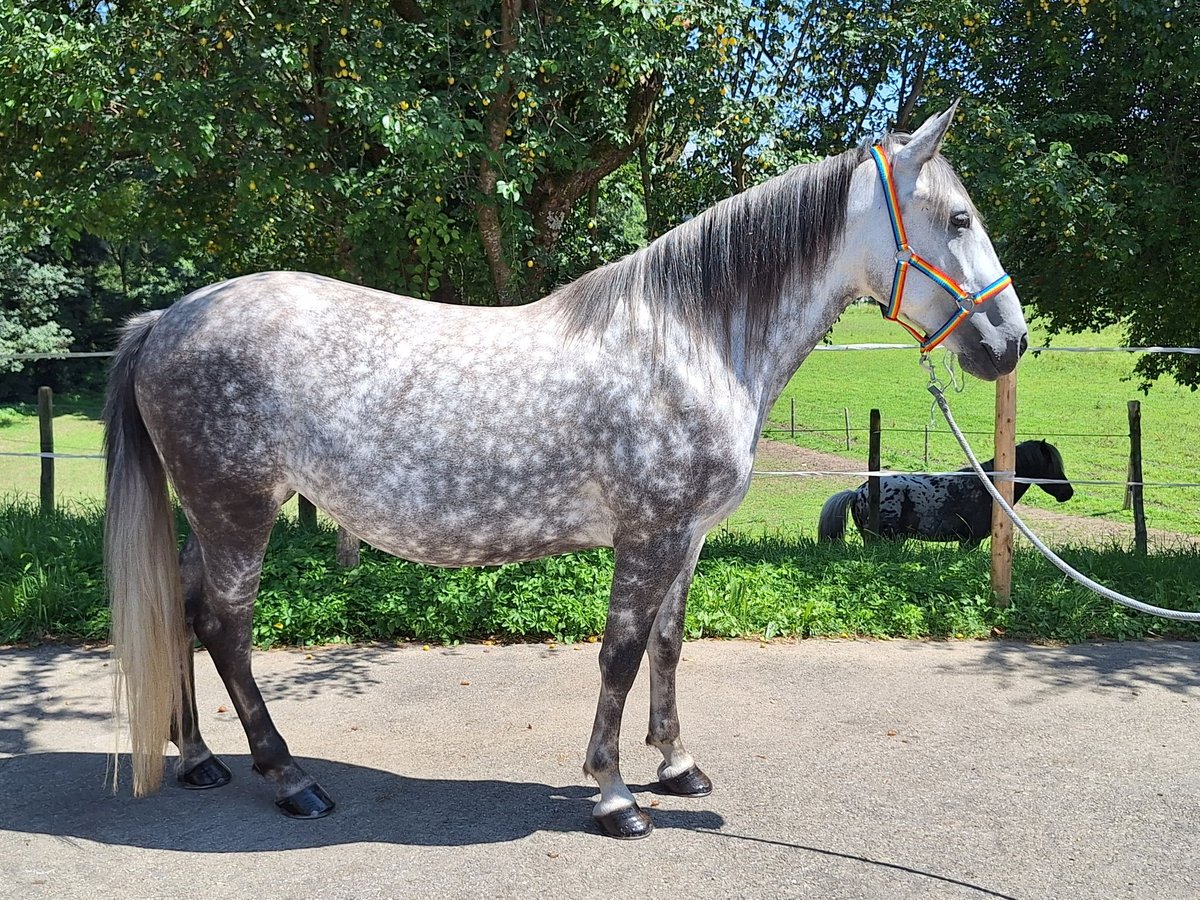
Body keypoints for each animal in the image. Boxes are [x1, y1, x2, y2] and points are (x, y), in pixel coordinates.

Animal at [103, 109, 1027, 844]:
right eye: (958, 216)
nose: (1010, 342)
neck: (689, 341)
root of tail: (166, 319)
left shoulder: (685, 538)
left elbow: (668, 646)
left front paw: (677, 765)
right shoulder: (648, 536)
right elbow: (619, 654)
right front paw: (615, 797)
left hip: (211, 516)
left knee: (182, 611)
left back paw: (199, 758)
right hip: (239, 511)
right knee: (225, 628)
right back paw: (291, 779)